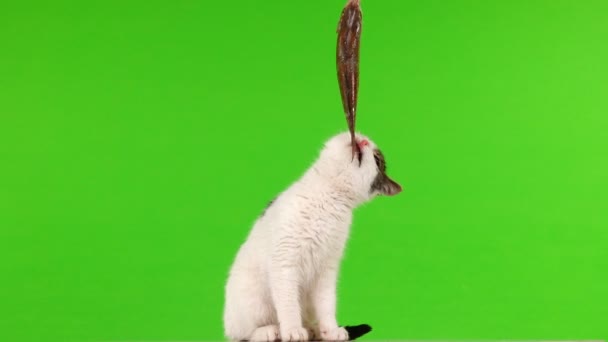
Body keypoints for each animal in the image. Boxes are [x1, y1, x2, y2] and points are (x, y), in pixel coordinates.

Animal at [222, 132, 400, 340]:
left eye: (377, 159)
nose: (363, 141)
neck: (329, 195)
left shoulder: (326, 268)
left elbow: (327, 303)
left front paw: (331, 330)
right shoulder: (284, 262)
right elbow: (289, 304)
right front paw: (292, 330)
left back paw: (313, 330)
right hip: (252, 302)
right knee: (243, 333)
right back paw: (271, 331)